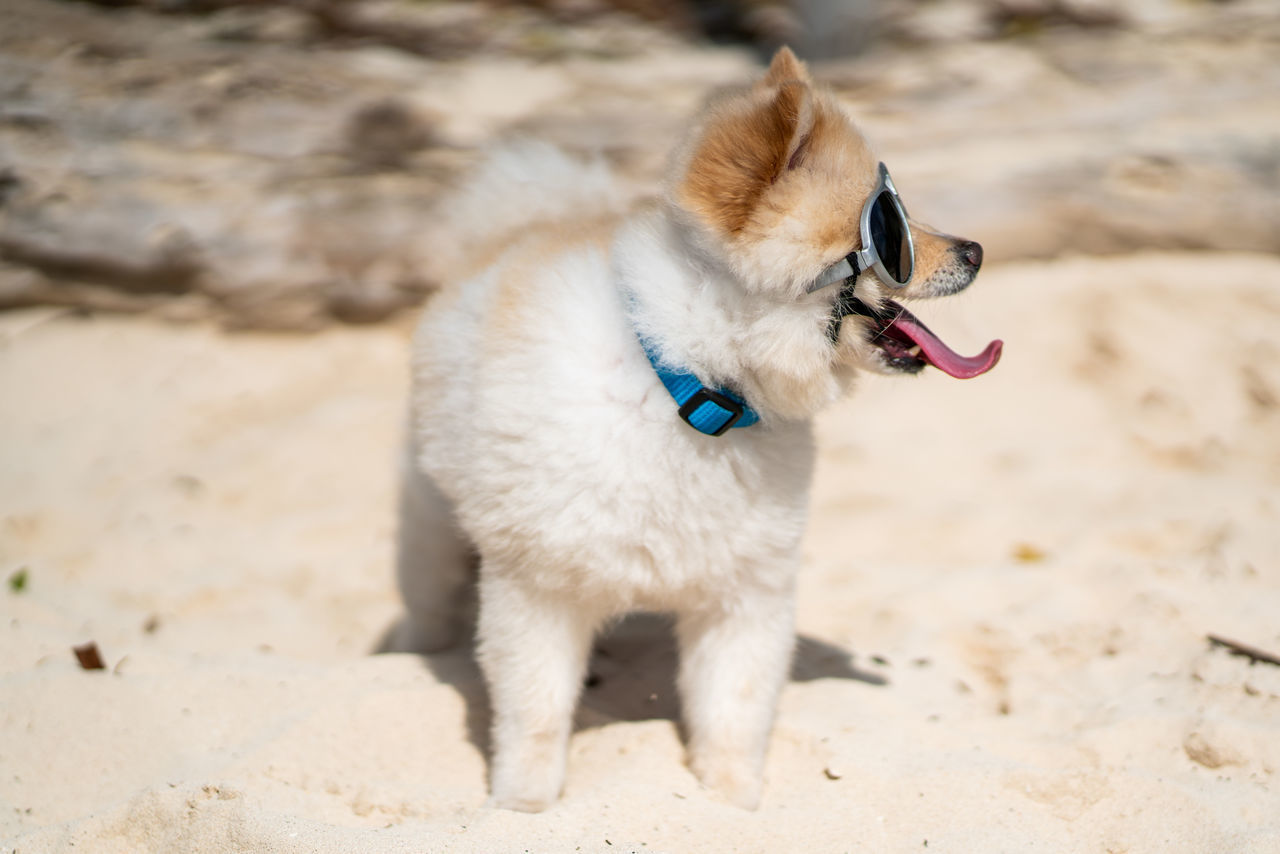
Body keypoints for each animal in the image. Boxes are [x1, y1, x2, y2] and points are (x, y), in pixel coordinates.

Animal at [396, 48, 998, 814]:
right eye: (893, 229)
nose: (976, 250)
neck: (697, 392)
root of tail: (519, 224)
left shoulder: (746, 596)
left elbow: (732, 713)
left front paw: (733, 803)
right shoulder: (537, 590)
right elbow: (535, 715)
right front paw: (524, 807)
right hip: (429, 518)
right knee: (430, 594)